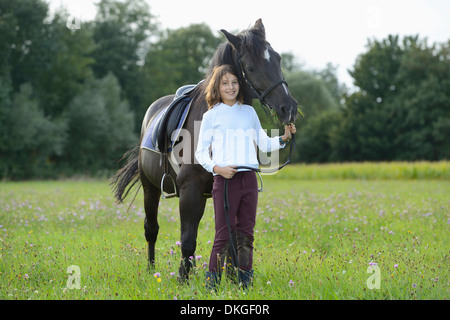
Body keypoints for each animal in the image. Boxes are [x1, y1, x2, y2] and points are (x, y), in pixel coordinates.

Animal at [111, 19, 298, 280]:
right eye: (251, 68)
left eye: (278, 59)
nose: (288, 108)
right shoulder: (190, 191)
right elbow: (188, 240)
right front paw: (183, 279)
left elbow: (229, 240)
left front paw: (231, 279)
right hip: (151, 189)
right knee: (151, 228)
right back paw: (151, 270)